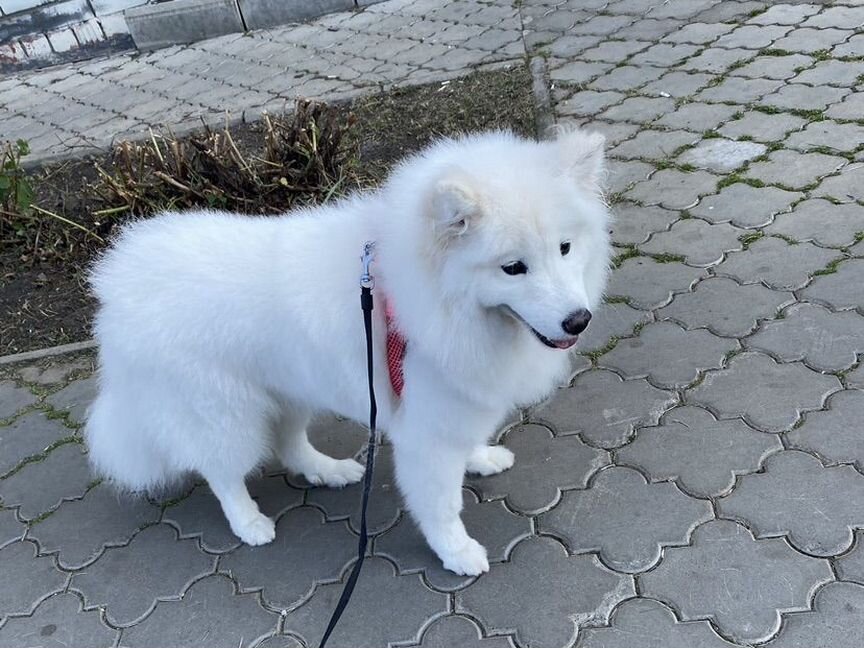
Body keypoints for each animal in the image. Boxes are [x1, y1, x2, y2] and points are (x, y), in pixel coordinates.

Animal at [84, 129, 612, 576]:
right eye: (513, 267)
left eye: (565, 248)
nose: (578, 320)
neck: (417, 298)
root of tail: (118, 284)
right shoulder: (425, 432)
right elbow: (441, 504)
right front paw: (457, 553)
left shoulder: (452, 408)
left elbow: (465, 448)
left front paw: (480, 459)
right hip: (223, 413)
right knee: (222, 472)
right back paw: (250, 523)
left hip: (290, 387)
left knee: (289, 443)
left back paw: (329, 471)